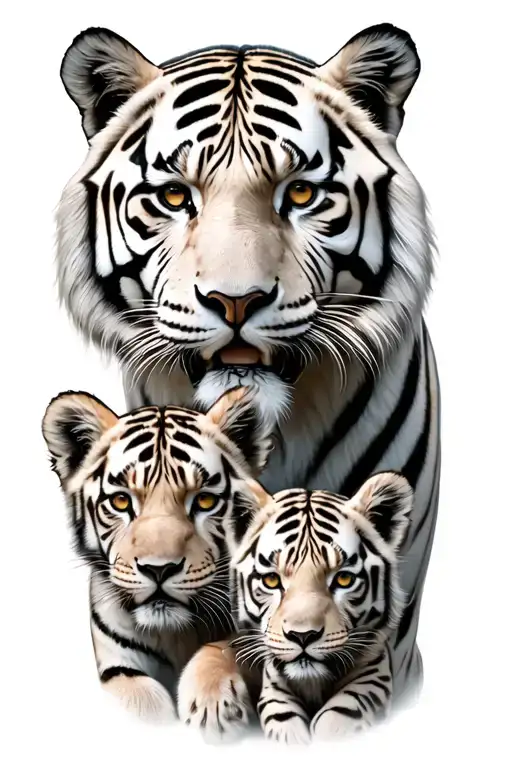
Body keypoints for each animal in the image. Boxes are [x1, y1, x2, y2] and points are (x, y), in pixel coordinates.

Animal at [41, 386, 272, 722]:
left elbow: (225, 648)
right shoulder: (119, 668)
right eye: (121, 501)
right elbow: (140, 700)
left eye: (204, 501)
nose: (159, 569)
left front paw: (212, 703)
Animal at [177, 471, 413, 743]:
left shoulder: (373, 674)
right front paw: (214, 711)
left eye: (344, 579)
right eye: (271, 580)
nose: (303, 636)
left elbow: (342, 713)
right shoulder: (273, 686)